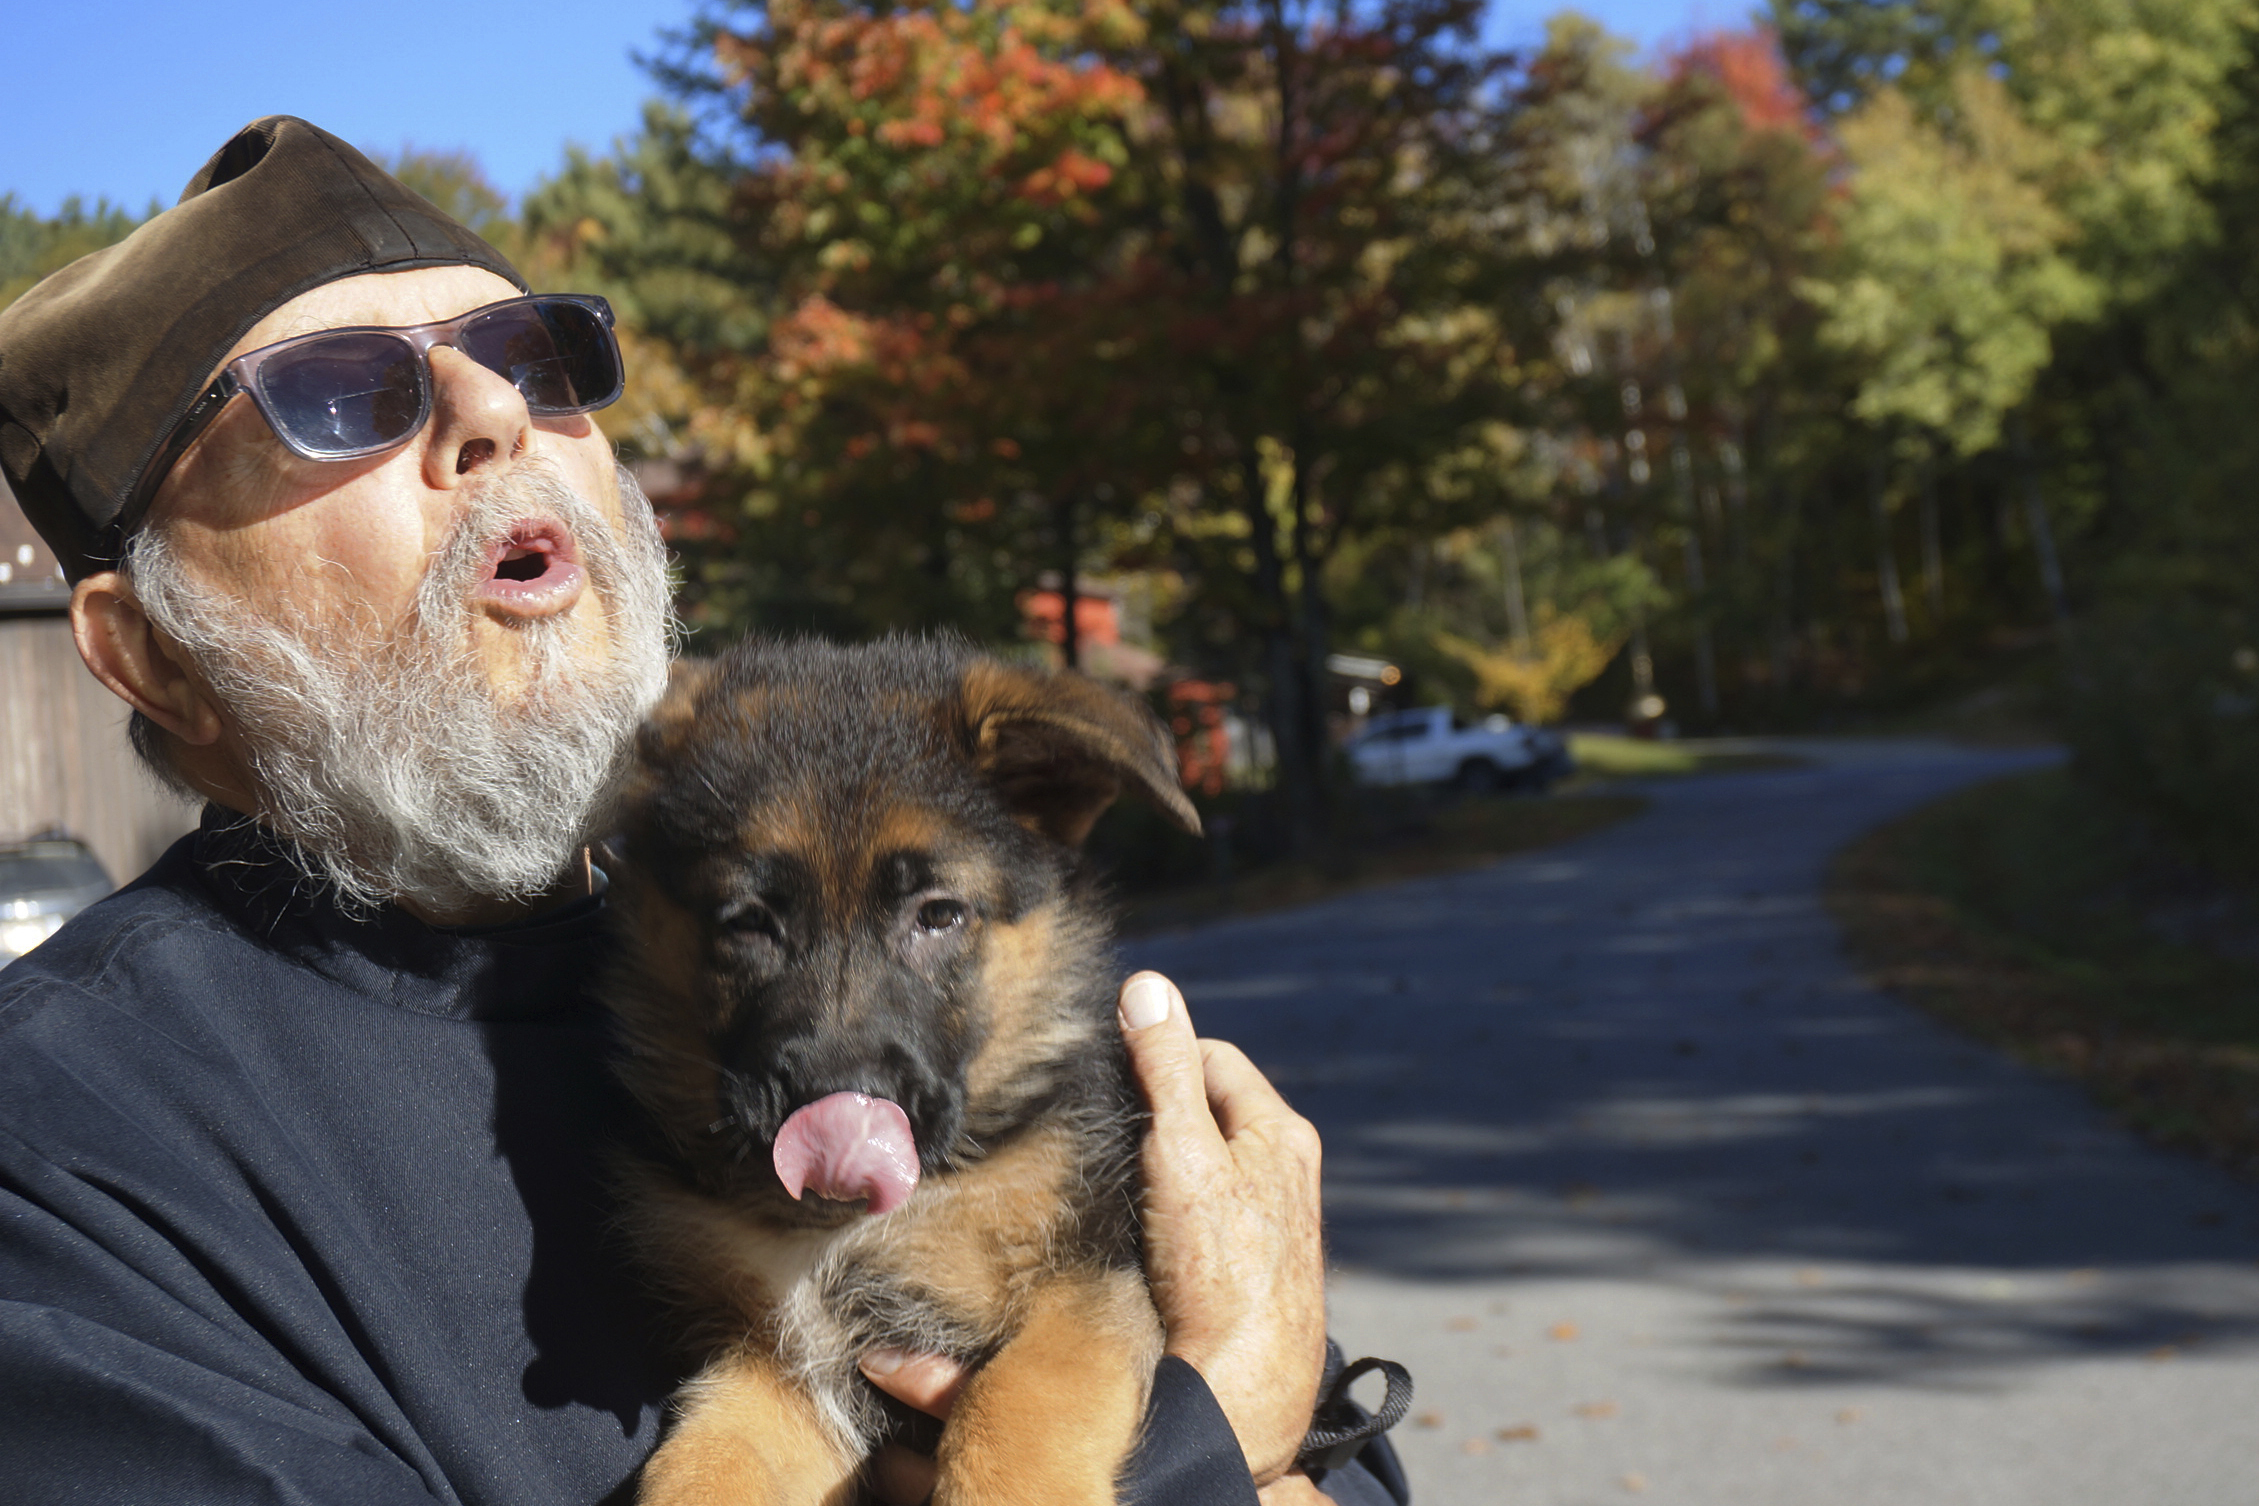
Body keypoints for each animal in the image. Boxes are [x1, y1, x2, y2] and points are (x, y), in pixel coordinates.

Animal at [600, 636, 1201, 1506]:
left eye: (939, 915)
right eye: (747, 922)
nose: (835, 1123)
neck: (847, 1234)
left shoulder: (1086, 1286)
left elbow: (1015, 1405)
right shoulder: (781, 1372)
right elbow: (702, 1465)